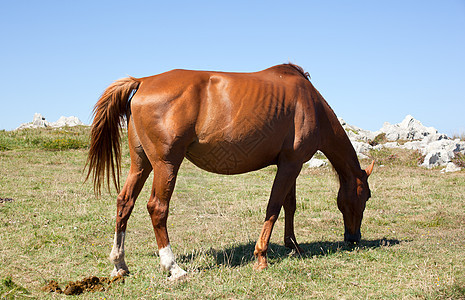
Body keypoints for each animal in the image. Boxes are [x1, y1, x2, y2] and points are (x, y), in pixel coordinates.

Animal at [84, 63, 374, 282]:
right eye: (365, 197)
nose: (354, 238)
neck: (310, 103)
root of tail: (144, 81)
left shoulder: (290, 165)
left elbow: (289, 206)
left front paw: (293, 245)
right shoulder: (291, 165)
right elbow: (274, 207)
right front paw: (261, 256)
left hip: (141, 164)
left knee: (125, 203)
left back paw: (120, 264)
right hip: (166, 165)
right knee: (157, 208)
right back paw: (173, 267)